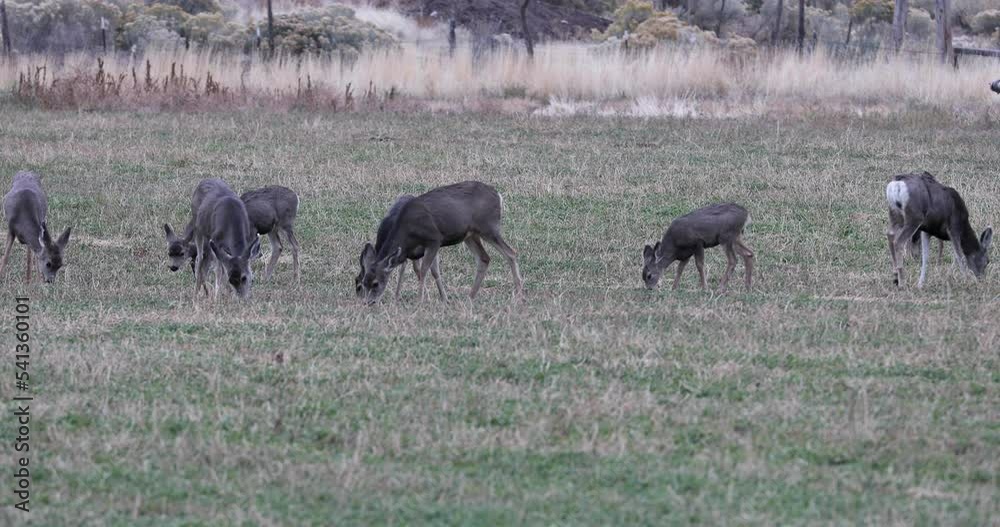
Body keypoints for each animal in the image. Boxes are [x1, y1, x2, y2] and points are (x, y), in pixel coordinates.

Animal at [358, 181, 523, 305]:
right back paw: (470, 297)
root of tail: (498, 196)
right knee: (484, 258)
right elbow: (429, 270)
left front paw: (420, 300)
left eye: (375, 283)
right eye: (364, 282)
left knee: (511, 253)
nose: (368, 302)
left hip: (488, 227)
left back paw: (519, 293)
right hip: (470, 235)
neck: (408, 231)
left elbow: (424, 270)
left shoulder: (434, 239)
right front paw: (441, 299)